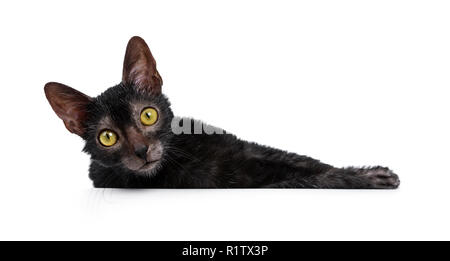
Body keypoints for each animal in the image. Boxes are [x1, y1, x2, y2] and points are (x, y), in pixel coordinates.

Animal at [44, 35, 400, 188]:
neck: (181, 155)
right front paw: (368, 177)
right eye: (108, 137)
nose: (142, 151)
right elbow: (312, 179)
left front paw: (368, 170)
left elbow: (306, 162)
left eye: (147, 115)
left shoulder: (245, 147)